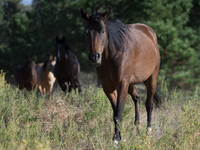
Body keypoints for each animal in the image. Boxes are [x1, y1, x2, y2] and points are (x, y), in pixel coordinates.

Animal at [81, 7, 161, 144]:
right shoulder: (108, 87)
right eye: (86, 32)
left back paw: (148, 134)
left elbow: (118, 113)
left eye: (102, 31)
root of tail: (150, 33)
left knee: (149, 104)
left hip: (151, 79)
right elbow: (115, 113)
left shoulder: (122, 84)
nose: (94, 57)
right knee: (137, 97)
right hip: (131, 83)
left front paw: (116, 141)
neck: (115, 55)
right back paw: (137, 126)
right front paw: (118, 137)